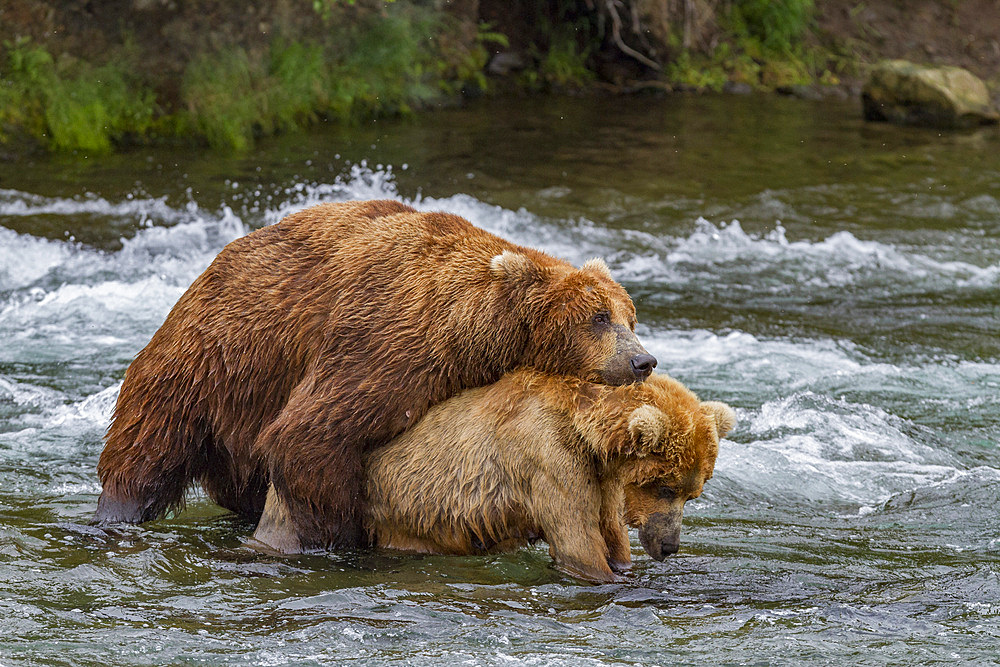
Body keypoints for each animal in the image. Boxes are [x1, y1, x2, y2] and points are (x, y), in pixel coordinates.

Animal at [95, 198, 656, 548]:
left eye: (629, 316)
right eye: (597, 317)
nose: (642, 361)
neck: (473, 330)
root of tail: (210, 265)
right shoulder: (389, 340)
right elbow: (312, 432)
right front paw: (345, 540)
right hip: (214, 357)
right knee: (149, 445)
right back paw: (116, 511)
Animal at [254, 370, 740, 584]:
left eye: (694, 493)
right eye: (666, 486)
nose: (669, 545)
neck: (589, 433)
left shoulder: (600, 478)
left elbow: (609, 530)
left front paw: (627, 564)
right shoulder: (549, 458)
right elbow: (577, 540)